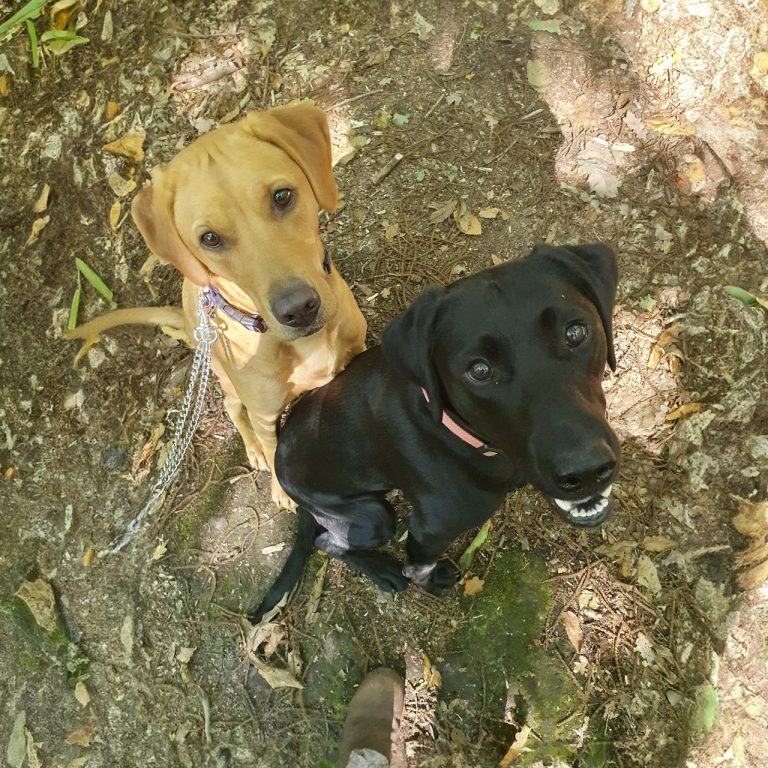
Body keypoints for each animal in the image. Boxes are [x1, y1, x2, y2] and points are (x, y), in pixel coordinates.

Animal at [67, 103, 366, 510]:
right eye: (210, 238)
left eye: (282, 196)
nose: (299, 309)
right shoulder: (265, 414)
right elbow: (273, 450)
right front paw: (279, 486)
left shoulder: (358, 353)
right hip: (228, 383)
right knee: (231, 408)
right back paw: (252, 449)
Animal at [249, 246, 620, 624]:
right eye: (479, 370)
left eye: (575, 332)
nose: (586, 472)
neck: (462, 436)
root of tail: (280, 446)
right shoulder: (430, 530)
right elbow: (417, 567)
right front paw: (427, 579)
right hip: (372, 519)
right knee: (328, 543)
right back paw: (382, 570)